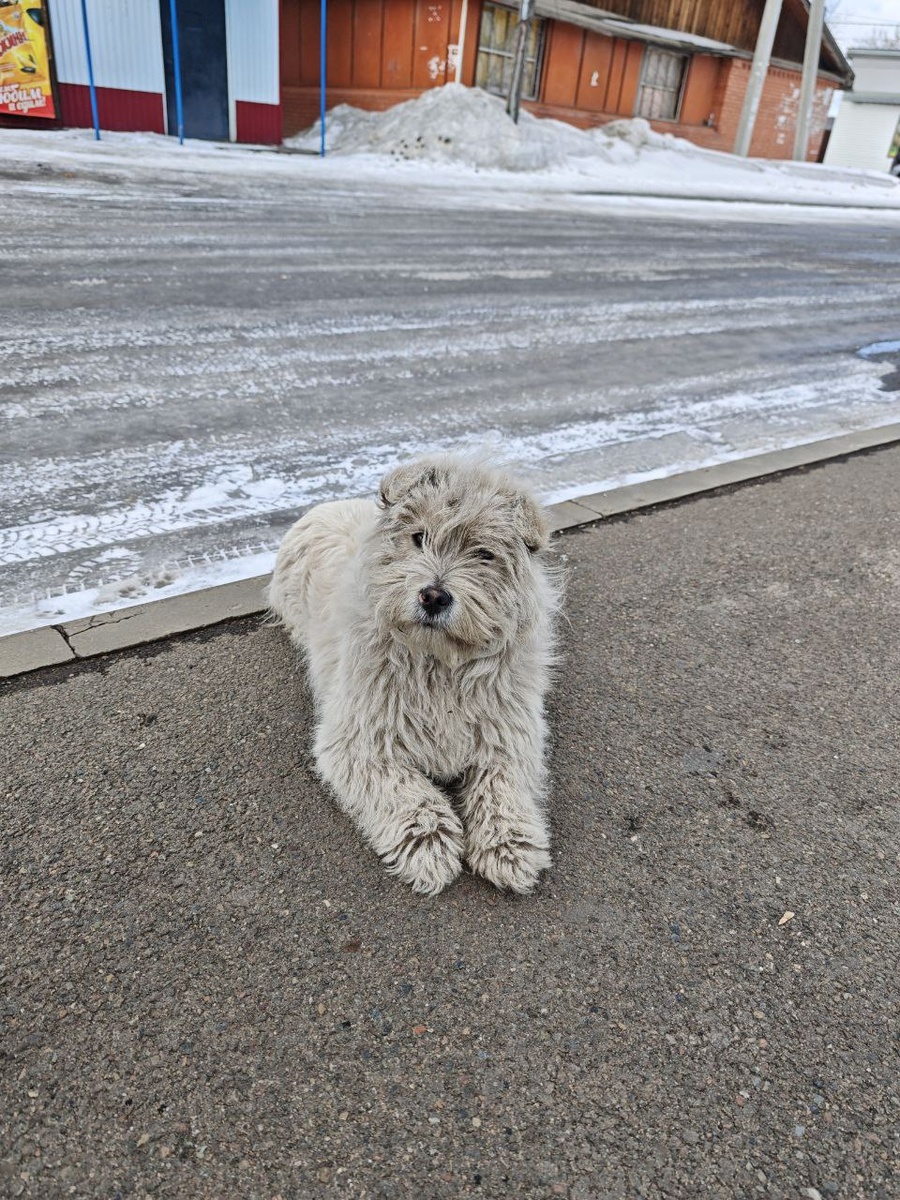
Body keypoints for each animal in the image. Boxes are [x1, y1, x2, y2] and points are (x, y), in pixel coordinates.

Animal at [268, 455, 559, 896]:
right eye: (418, 537)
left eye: (483, 554)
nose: (434, 596)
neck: (438, 662)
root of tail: (325, 506)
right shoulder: (358, 740)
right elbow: (403, 789)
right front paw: (428, 842)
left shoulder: (508, 732)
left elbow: (502, 783)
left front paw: (510, 844)